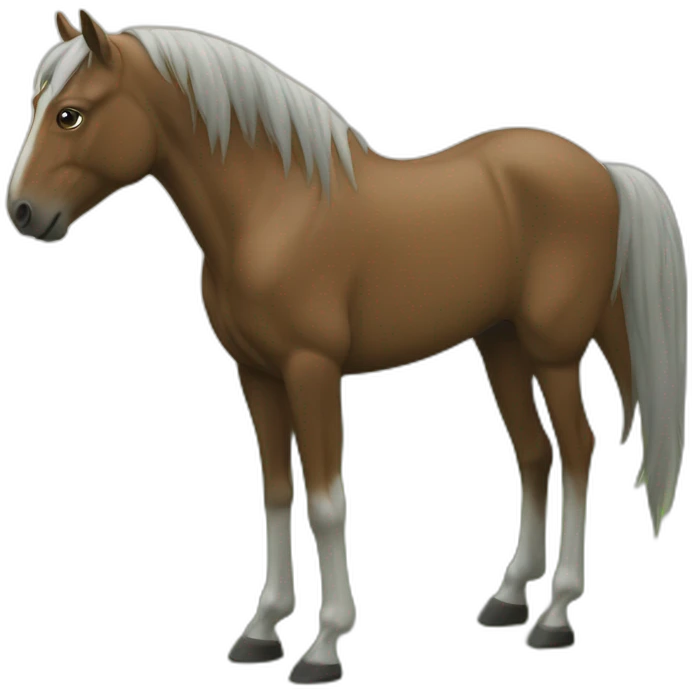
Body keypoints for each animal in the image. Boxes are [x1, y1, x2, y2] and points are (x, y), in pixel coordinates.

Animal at [5, 9, 686, 684]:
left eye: (70, 114)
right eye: (39, 104)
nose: (22, 212)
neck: (272, 212)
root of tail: (602, 173)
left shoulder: (312, 370)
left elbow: (327, 504)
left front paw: (324, 644)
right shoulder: (257, 376)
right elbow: (278, 494)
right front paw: (261, 629)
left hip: (553, 354)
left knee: (576, 451)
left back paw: (556, 615)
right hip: (502, 347)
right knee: (535, 453)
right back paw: (509, 597)